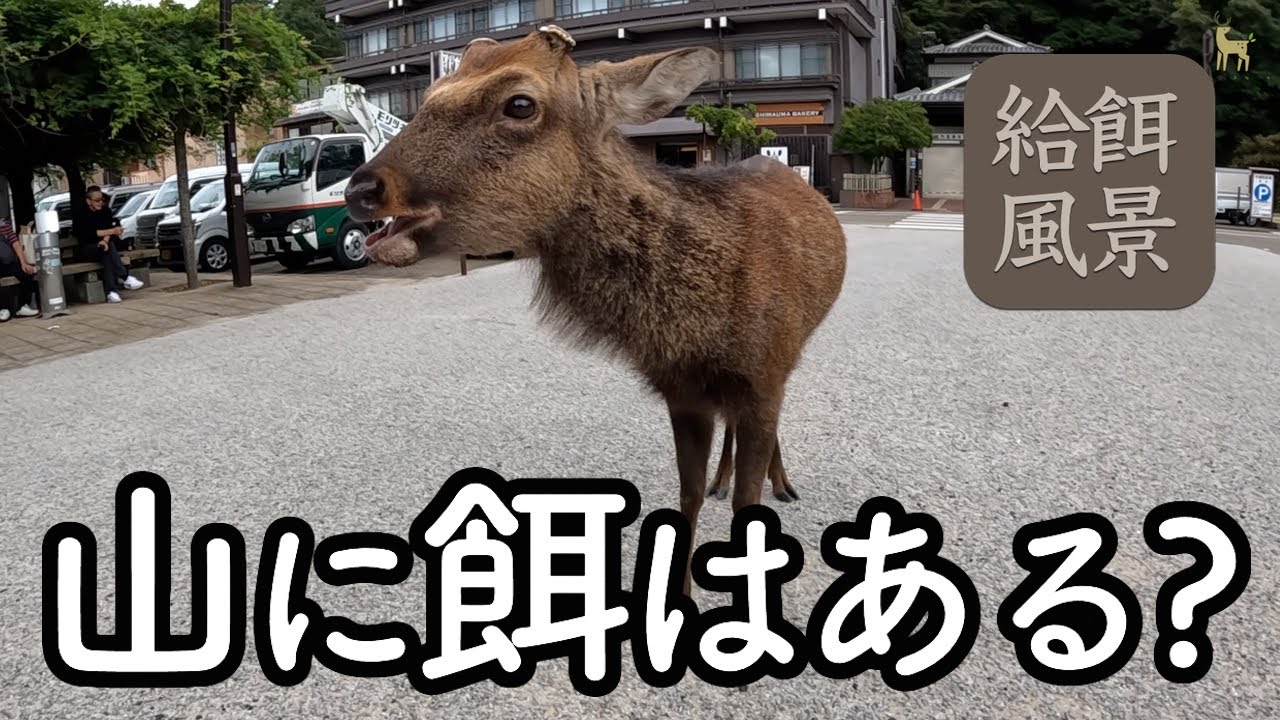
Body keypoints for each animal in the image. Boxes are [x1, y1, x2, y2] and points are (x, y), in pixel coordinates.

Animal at [344, 25, 847, 596]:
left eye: (520, 103)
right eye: (428, 96)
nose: (361, 188)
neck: (701, 328)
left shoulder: (764, 372)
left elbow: (749, 500)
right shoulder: (682, 391)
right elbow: (689, 492)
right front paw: (678, 590)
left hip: (794, 348)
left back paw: (784, 483)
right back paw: (727, 476)